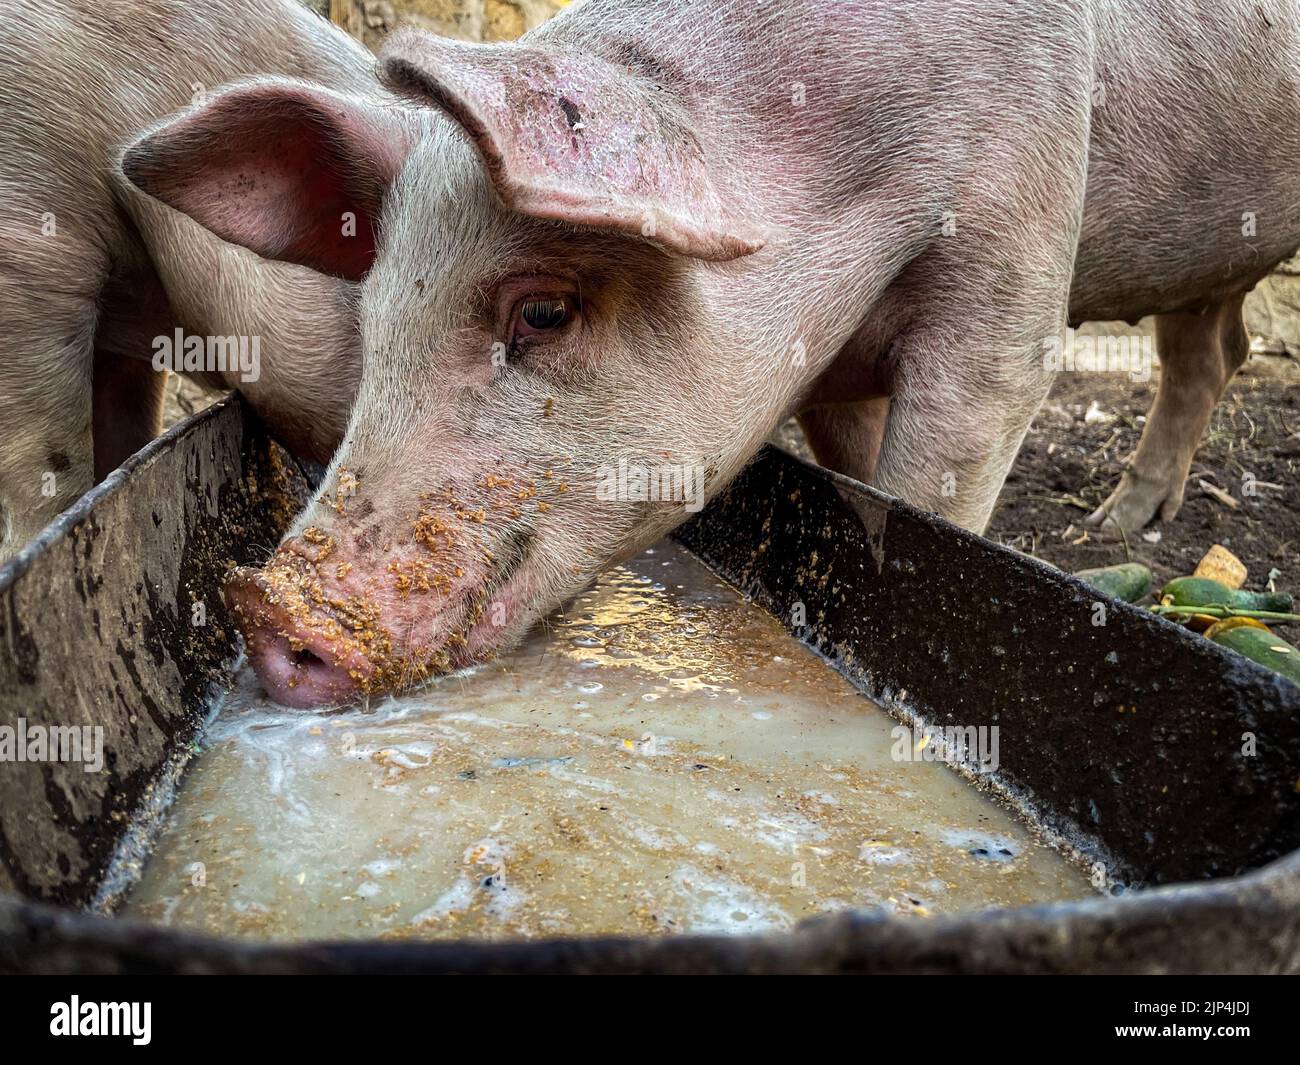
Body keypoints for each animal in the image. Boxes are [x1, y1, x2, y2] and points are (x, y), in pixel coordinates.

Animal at [124, 0, 1300, 707]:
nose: (265, 609)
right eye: (376, 318)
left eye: (542, 311)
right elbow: (857, 464)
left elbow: (939, 474)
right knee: (1216, 349)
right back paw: (1123, 520)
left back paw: (1114, 531)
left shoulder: (1015, 263)